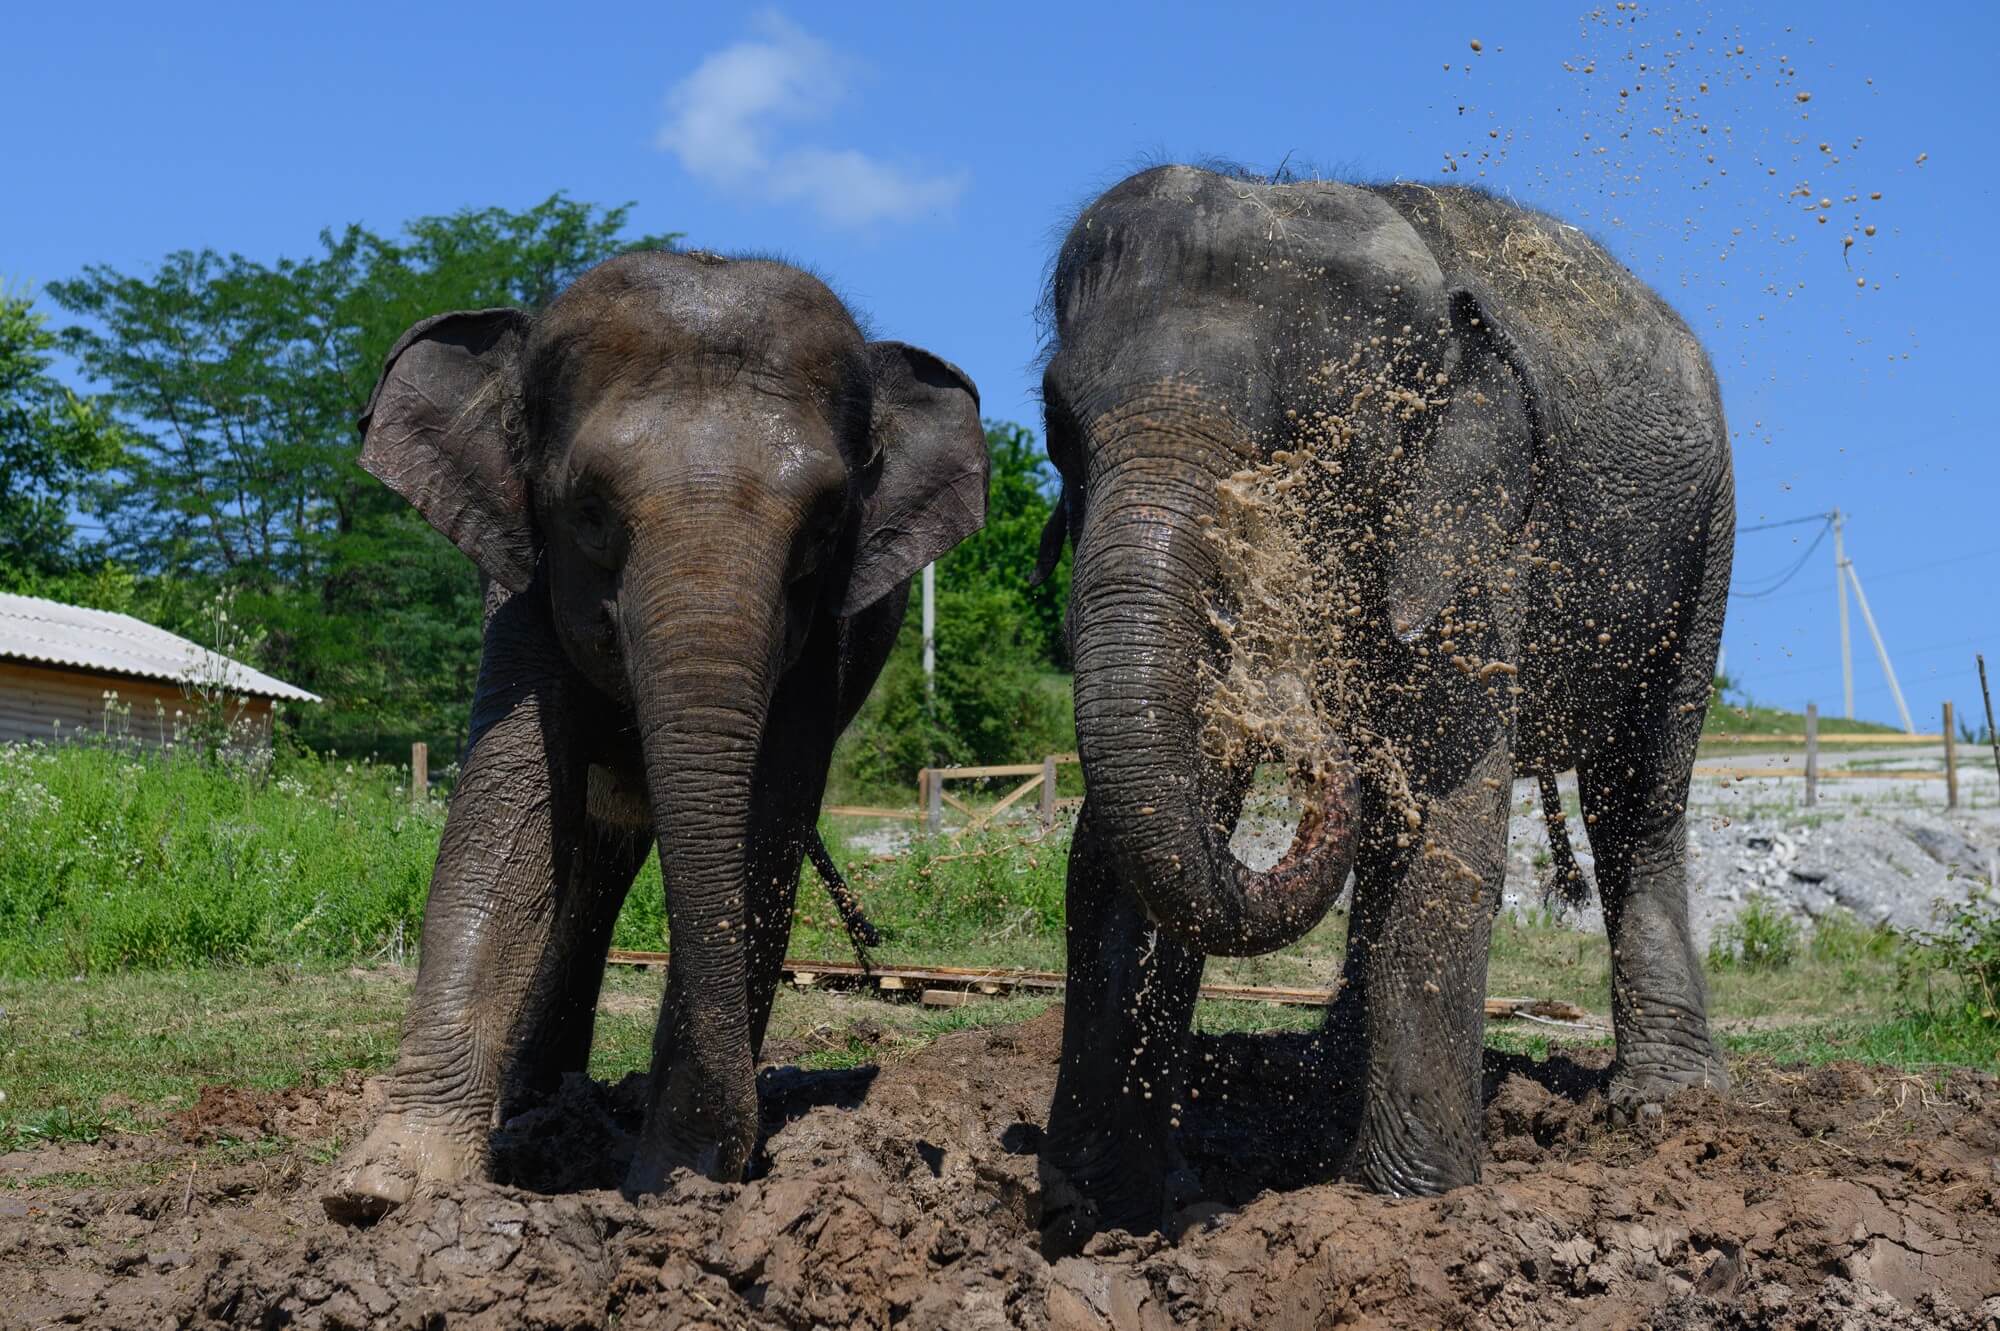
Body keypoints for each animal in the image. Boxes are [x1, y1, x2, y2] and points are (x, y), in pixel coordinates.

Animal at [320, 248, 992, 1223]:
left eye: (826, 528)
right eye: (589, 511)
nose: (731, 1150)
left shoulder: (821, 643)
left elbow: (761, 831)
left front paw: (677, 1182)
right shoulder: (520, 580)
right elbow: (510, 810)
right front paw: (383, 1189)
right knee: (599, 851)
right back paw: (537, 1101)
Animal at [1032, 162, 1736, 1247]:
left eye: (1298, 442)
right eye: (1055, 429)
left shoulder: (1471, 529)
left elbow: (1447, 814)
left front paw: (1405, 1210)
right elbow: (1124, 841)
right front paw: (1094, 1208)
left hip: (1706, 538)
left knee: (1639, 800)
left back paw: (1666, 1103)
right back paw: (1328, 1072)